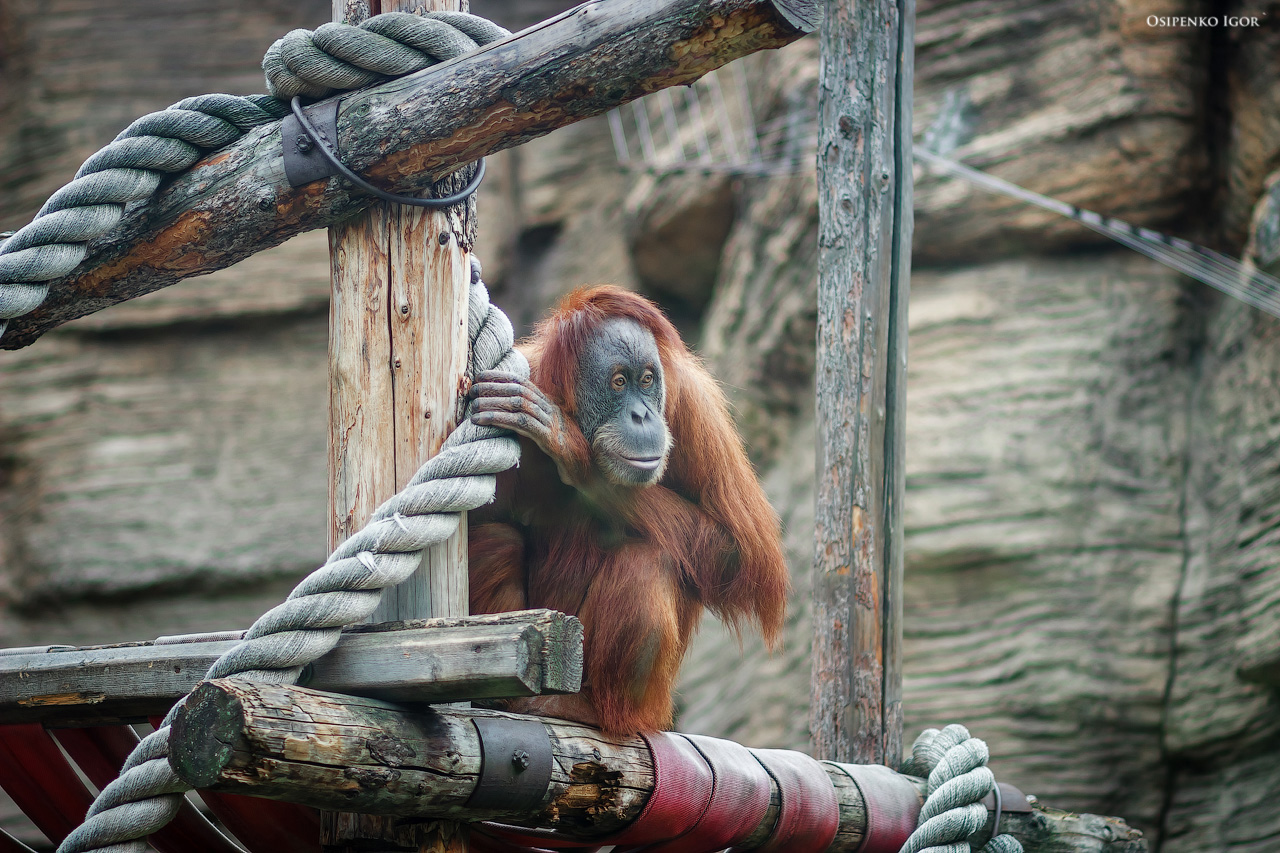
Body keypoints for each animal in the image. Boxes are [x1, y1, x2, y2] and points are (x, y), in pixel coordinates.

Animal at [466, 285, 789, 734]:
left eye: (648, 379)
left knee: (647, 562)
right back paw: (504, 695)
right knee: (495, 540)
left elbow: (744, 553)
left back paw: (583, 708)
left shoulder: (695, 404)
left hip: (649, 707)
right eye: (619, 382)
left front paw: (575, 452)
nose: (642, 415)